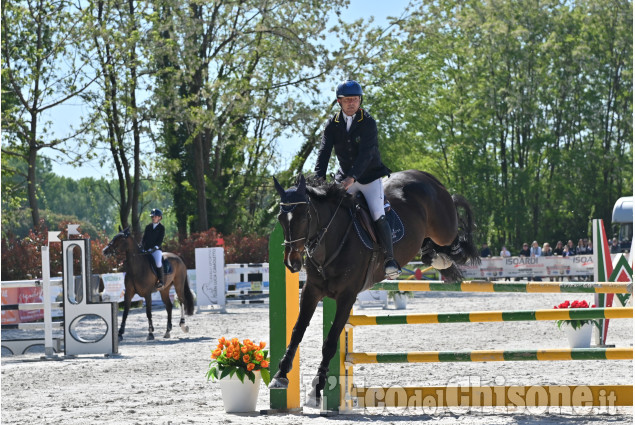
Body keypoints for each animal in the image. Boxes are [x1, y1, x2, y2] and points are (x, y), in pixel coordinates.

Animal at [270, 171, 482, 406]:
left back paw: (452, 253)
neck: (331, 240)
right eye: (280, 219)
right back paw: (437, 257)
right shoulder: (312, 290)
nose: (292, 263)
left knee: (454, 234)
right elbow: (297, 331)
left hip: (443, 229)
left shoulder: (346, 297)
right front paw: (280, 376)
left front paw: (317, 390)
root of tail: (426, 176)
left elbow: (330, 343)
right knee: (430, 247)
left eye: (304, 216)